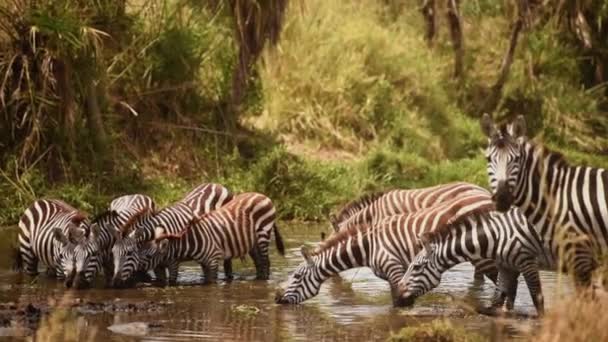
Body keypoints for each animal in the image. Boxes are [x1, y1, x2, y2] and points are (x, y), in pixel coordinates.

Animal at [142, 192, 284, 284]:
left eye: (148, 256)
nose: (140, 277)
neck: (193, 242)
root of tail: (262, 195)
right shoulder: (204, 264)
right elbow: (206, 280)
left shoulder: (213, 260)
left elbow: (211, 284)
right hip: (252, 242)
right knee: (259, 262)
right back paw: (258, 279)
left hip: (263, 233)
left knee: (265, 262)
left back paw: (264, 281)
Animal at [276, 191, 498, 306]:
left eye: (297, 277)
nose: (276, 298)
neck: (369, 247)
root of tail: (484, 194)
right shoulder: (392, 276)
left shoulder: (395, 269)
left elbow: (399, 304)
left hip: (484, 256)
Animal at [396, 206, 548, 316]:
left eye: (416, 267)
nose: (398, 300)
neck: (495, 237)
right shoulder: (508, 266)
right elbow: (500, 300)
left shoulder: (527, 262)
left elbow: (537, 300)